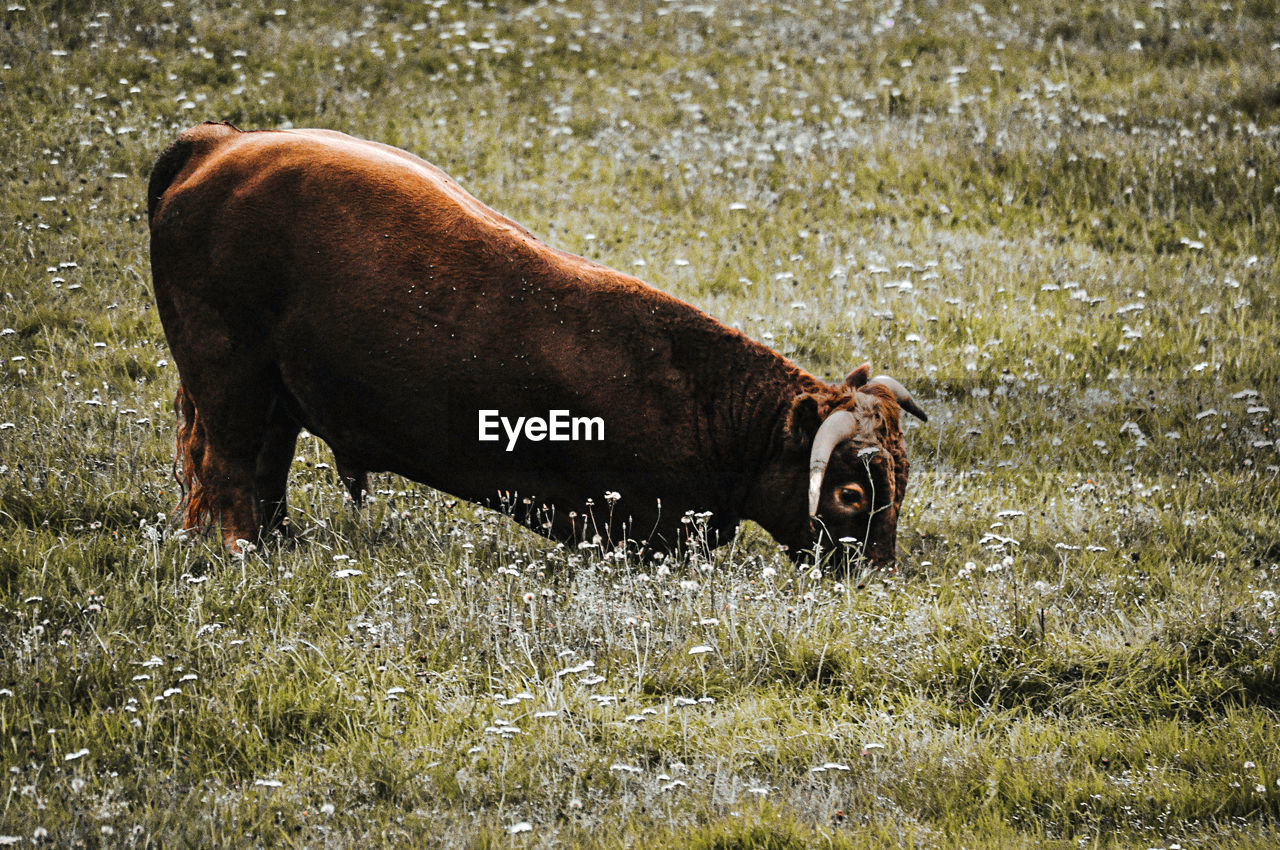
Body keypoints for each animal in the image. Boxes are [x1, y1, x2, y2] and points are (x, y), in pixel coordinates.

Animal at [147, 120, 931, 570]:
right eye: (852, 493)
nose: (876, 575)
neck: (703, 399)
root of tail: (217, 143)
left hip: (274, 396)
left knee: (265, 469)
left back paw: (283, 544)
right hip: (229, 380)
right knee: (229, 471)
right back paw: (248, 554)